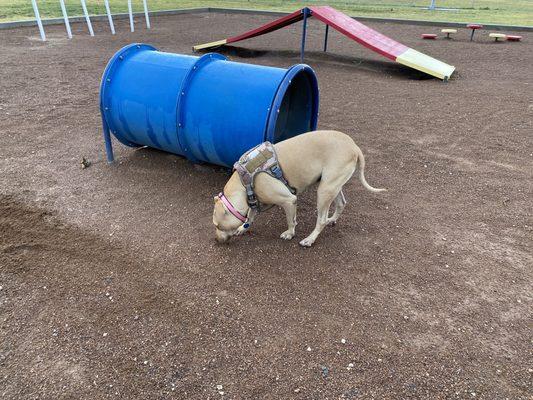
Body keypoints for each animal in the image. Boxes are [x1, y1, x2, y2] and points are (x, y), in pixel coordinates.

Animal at [213, 130, 386, 245]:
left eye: (217, 225)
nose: (216, 239)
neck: (244, 182)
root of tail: (355, 147)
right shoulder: (254, 199)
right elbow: (251, 215)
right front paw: (243, 227)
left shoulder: (289, 201)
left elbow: (291, 221)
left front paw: (289, 234)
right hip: (333, 185)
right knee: (341, 204)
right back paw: (332, 220)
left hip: (324, 190)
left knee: (321, 220)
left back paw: (310, 239)